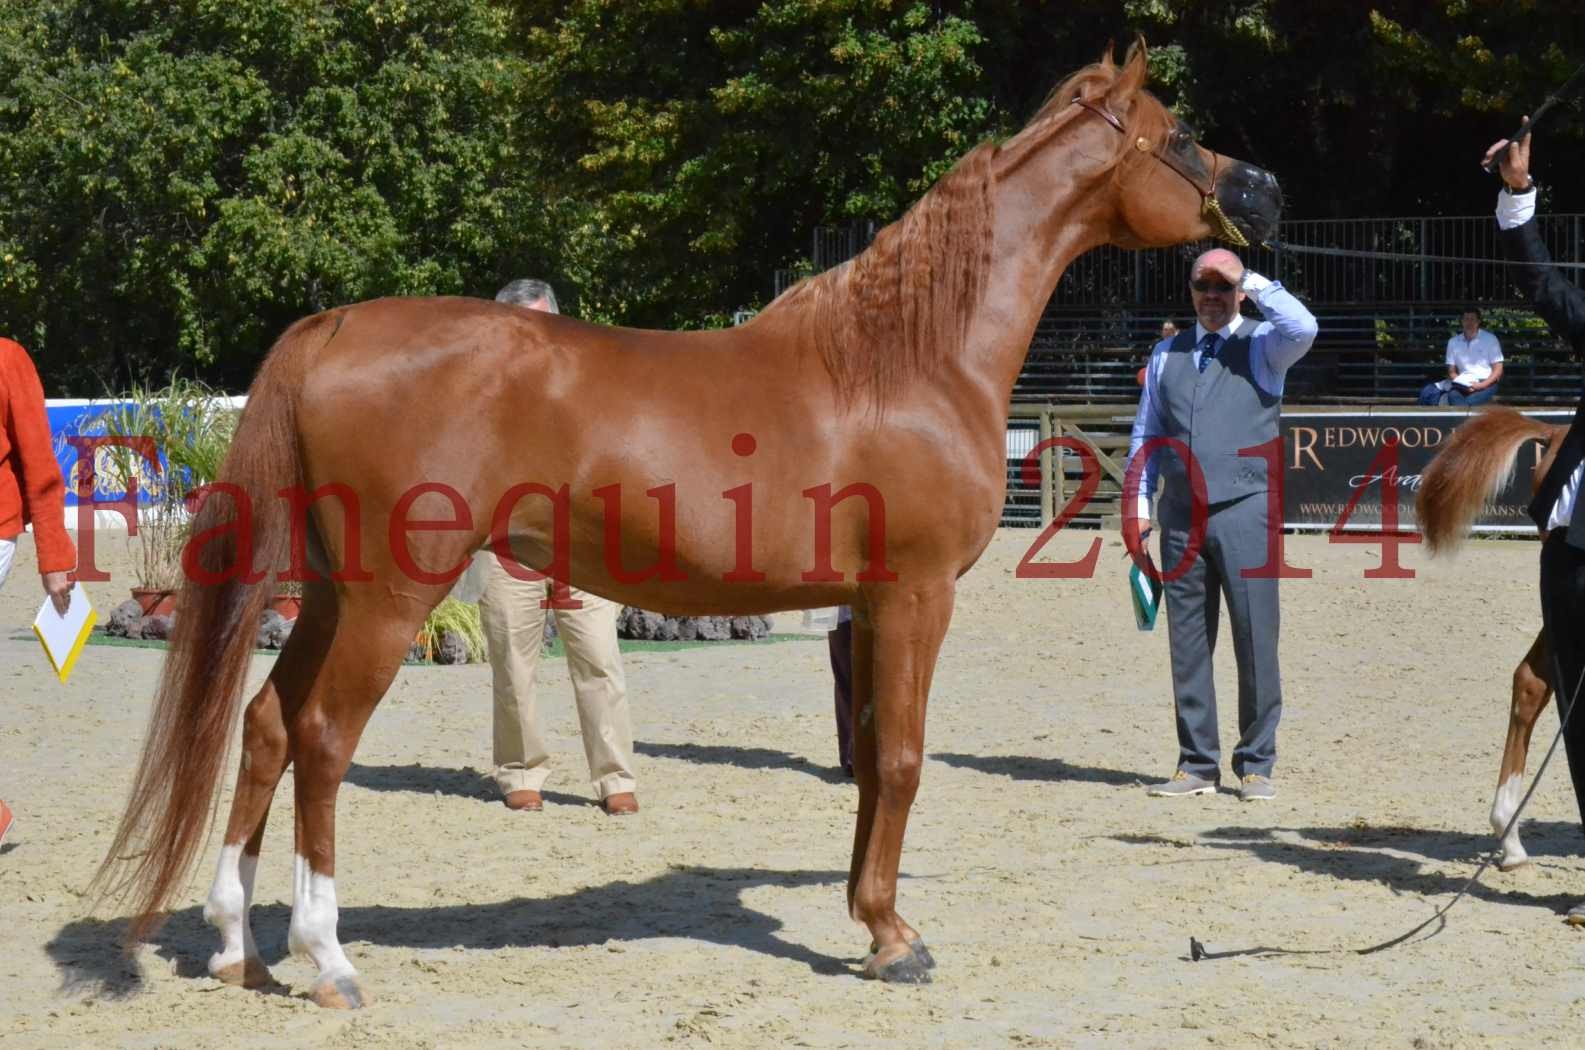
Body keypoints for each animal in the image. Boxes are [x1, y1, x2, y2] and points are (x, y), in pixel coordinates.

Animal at [92, 43, 1287, 1015]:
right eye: (1180, 133)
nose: (1267, 190)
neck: (904, 357)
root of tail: (330, 326)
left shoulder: (866, 608)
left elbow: (868, 765)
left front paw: (871, 920)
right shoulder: (916, 594)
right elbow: (902, 761)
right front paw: (896, 942)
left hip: (333, 593)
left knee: (265, 725)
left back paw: (238, 949)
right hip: (391, 597)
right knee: (324, 739)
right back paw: (329, 959)